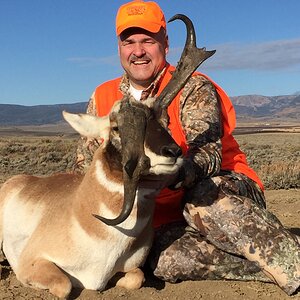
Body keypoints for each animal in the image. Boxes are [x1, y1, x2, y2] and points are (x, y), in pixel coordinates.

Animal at [0, 14, 216, 298]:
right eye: (116, 128)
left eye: (165, 120)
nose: (173, 152)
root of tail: (20, 180)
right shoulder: (32, 262)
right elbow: (64, 284)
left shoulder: (131, 269)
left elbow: (136, 277)